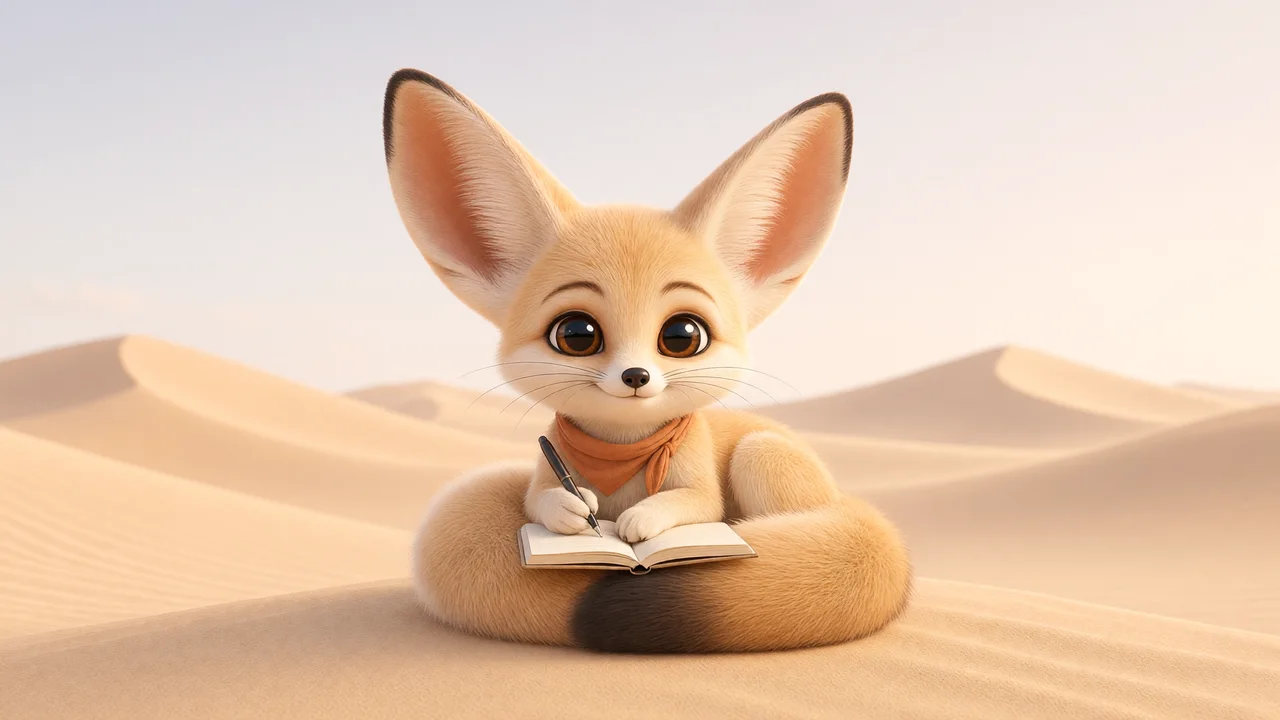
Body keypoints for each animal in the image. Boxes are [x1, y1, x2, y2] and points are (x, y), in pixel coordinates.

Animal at [385, 68, 913, 653]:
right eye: (576, 334)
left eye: (683, 335)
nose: (635, 376)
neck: (621, 452)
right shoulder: (546, 467)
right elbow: (538, 503)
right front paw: (575, 511)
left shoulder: (699, 477)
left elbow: (694, 505)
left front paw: (641, 521)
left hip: (761, 453)